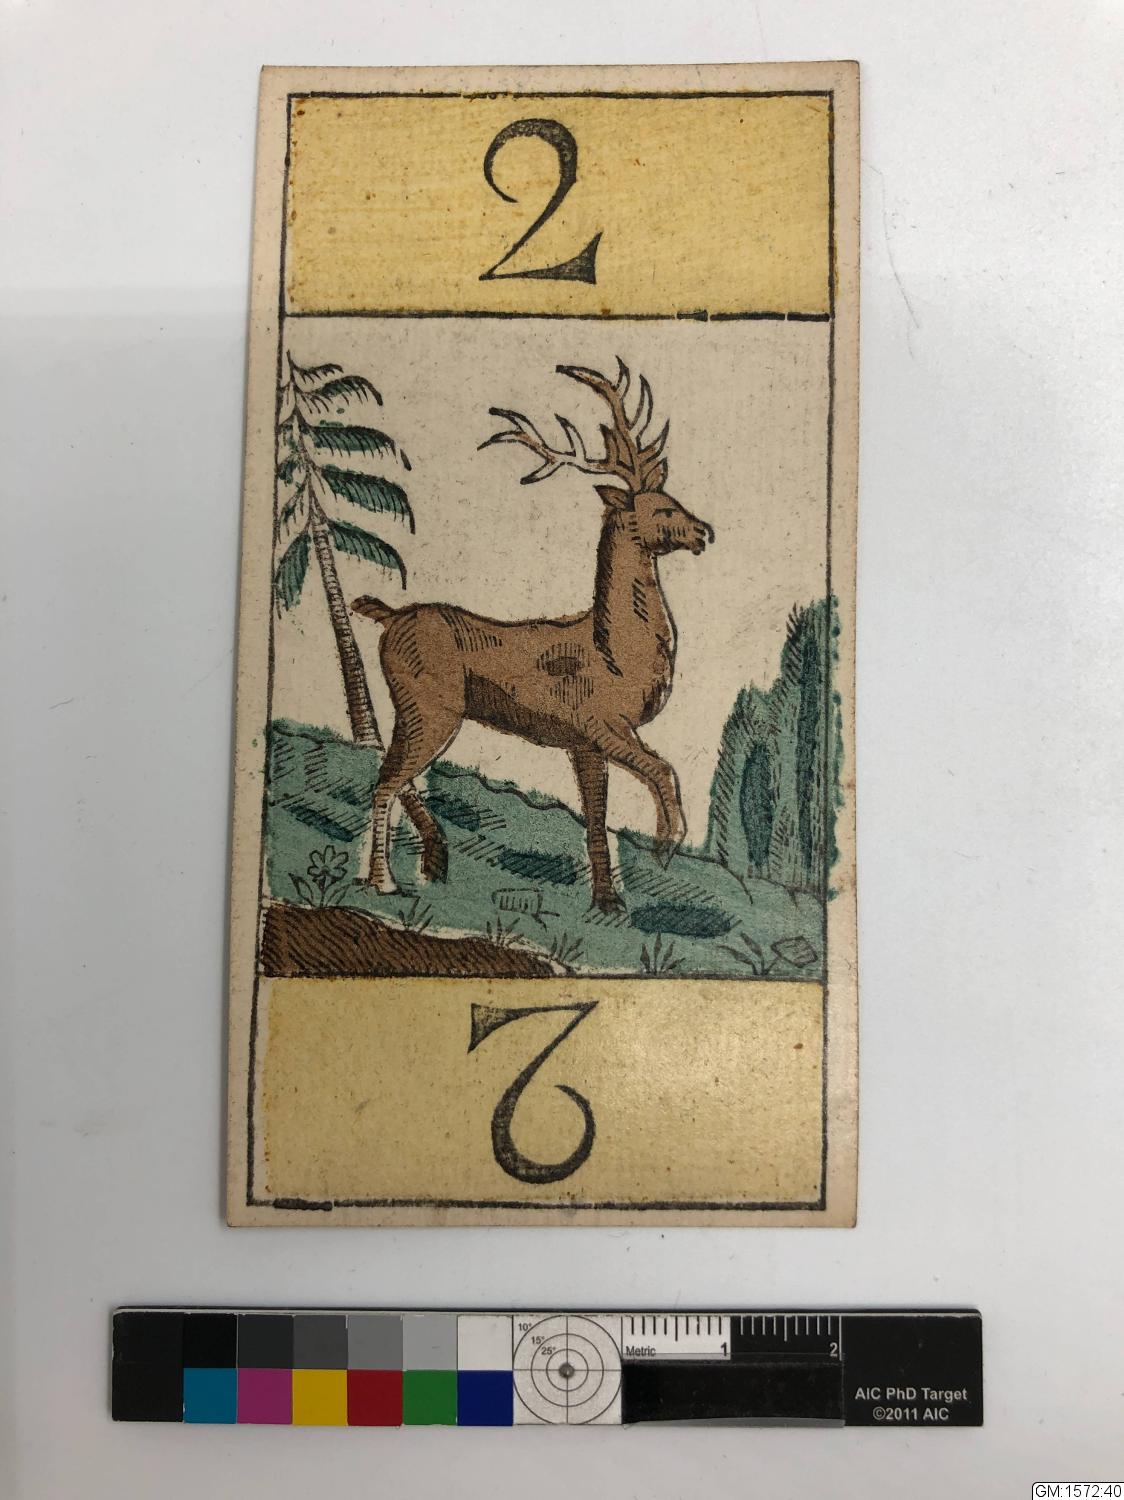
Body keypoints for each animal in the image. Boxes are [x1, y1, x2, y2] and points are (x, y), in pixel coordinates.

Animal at [351, 359, 714, 913]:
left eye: (674, 499)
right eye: (662, 509)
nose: (705, 532)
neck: (614, 652)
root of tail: (390, 617)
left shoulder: (583, 744)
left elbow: (596, 818)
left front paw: (608, 903)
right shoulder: (601, 722)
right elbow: (663, 769)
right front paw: (665, 846)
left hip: (420, 710)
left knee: (397, 774)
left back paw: (431, 864)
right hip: (429, 707)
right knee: (386, 780)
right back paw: (384, 880)